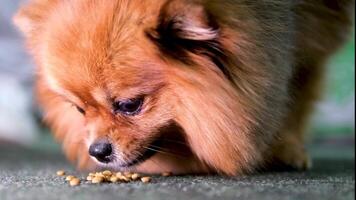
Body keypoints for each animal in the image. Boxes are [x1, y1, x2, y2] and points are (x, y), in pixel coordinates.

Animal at [13, 0, 354, 175]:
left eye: (129, 105)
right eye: (79, 109)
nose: (97, 151)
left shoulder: (312, 32)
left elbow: (296, 87)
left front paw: (286, 146)